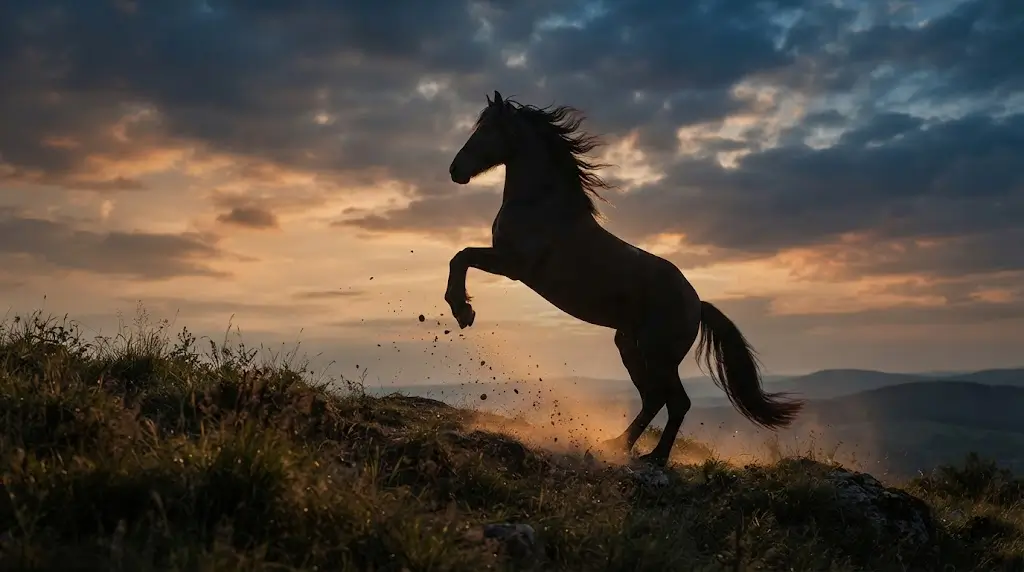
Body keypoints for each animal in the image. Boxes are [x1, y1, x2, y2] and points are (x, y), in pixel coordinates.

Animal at [445, 90, 804, 467]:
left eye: (486, 129)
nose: (455, 170)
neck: (541, 204)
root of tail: (697, 303)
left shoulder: (514, 265)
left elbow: (461, 256)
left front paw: (462, 311)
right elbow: (460, 256)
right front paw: (463, 310)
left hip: (659, 355)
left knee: (675, 401)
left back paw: (653, 457)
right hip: (630, 345)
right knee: (654, 399)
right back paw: (617, 445)